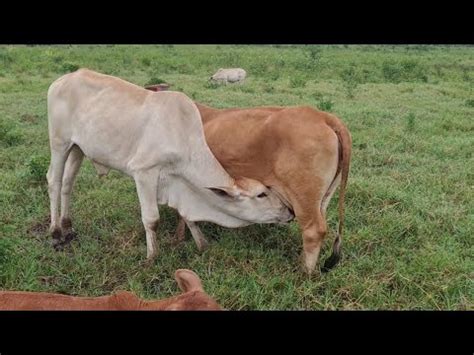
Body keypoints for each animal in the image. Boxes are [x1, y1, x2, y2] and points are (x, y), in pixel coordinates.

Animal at [47, 69, 292, 258]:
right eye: (261, 194)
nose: (289, 211)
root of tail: (64, 79)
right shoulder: (144, 172)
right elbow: (151, 219)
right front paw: (152, 257)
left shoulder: (179, 183)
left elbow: (188, 217)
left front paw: (202, 245)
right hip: (59, 143)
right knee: (54, 181)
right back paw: (56, 232)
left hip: (77, 148)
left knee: (68, 183)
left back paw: (68, 226)